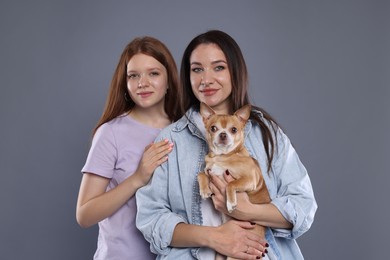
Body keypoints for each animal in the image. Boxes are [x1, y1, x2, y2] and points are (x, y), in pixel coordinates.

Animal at [198, 102, 272, 258]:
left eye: (234, 130)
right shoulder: (211, 173)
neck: (222, 156)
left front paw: (231, 203)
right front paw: (204, 190)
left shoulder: (250, 179)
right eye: (213, 128)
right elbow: (200, 174)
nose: (223, 134)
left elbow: (230, 184)